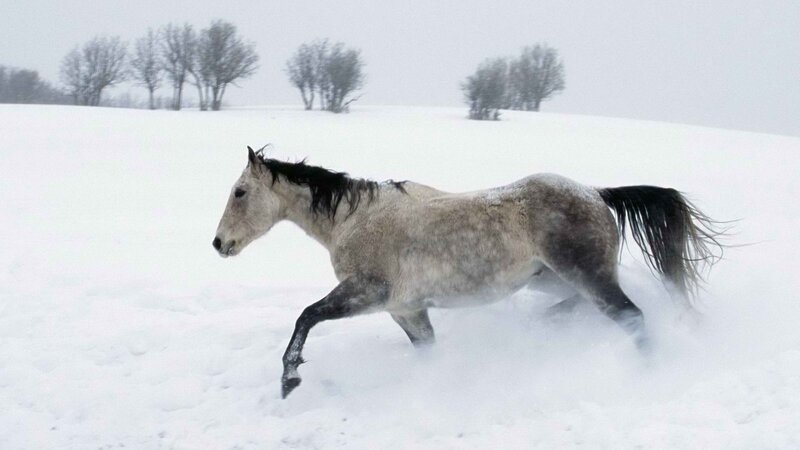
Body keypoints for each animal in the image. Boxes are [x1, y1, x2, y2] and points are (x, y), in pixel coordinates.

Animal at [213, 146, 723, 398]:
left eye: (239, 192)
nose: (219, 244)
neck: (356, 219)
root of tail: (597, 194)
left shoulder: (367, 292)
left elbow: (306, 316)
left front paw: (289, 380)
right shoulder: (406, 309)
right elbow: (427, 351)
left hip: (587, 275)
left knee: (632, 318)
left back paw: (649, 373)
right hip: (552, 279)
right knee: (581, 306)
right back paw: (545, 327)